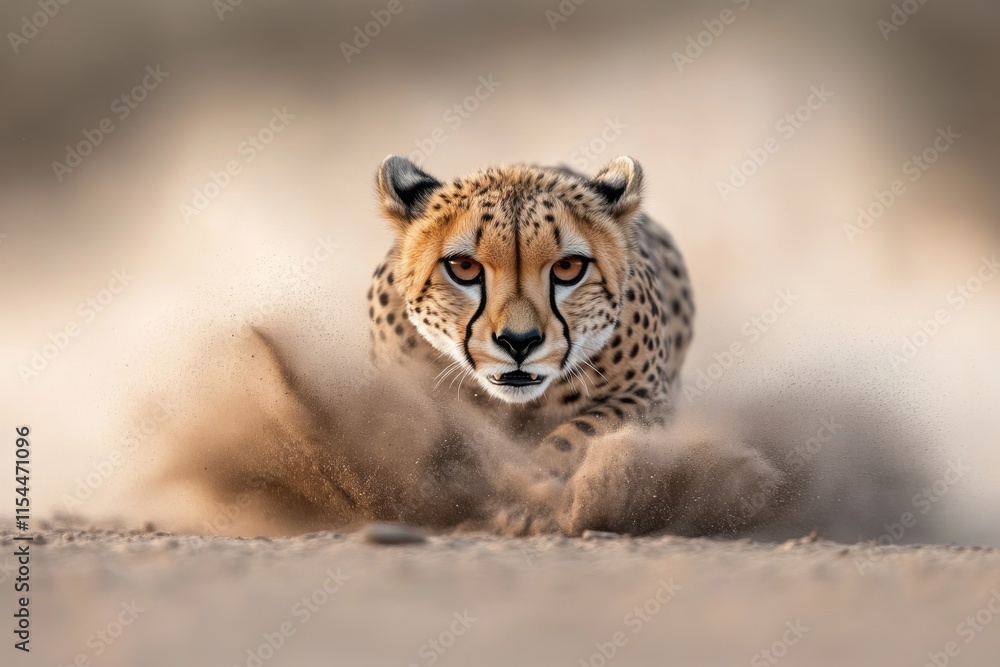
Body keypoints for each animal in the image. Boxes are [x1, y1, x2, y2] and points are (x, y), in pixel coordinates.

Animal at [366, 154, 696, 482]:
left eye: (568, 267)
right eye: (464, 267)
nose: (519, 342)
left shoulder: (649, 401)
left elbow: (580, 434)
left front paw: (535, 483)